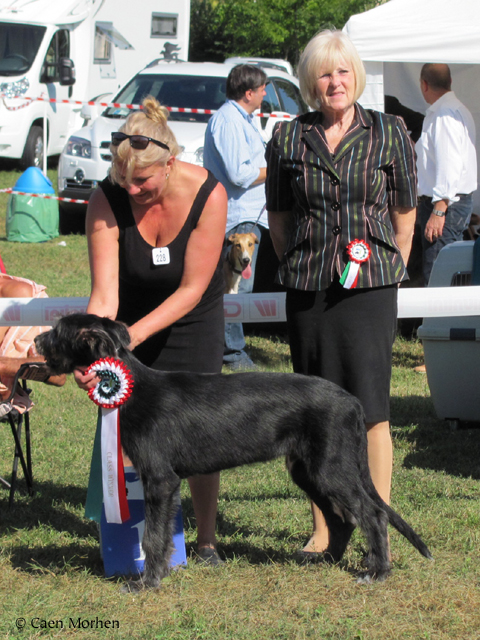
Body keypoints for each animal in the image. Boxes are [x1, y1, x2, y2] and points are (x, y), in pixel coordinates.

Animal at [33, 312, 432, 588]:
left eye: (59, 331)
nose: (35, 339)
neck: (131, 388)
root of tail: (353, 402)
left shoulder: (160, 479)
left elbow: (153, 535)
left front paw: (147, 581)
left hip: (332, 468)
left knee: (372, 515)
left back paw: (376, 573)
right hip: (308, 471)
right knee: (342, 518)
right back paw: (327, 560)